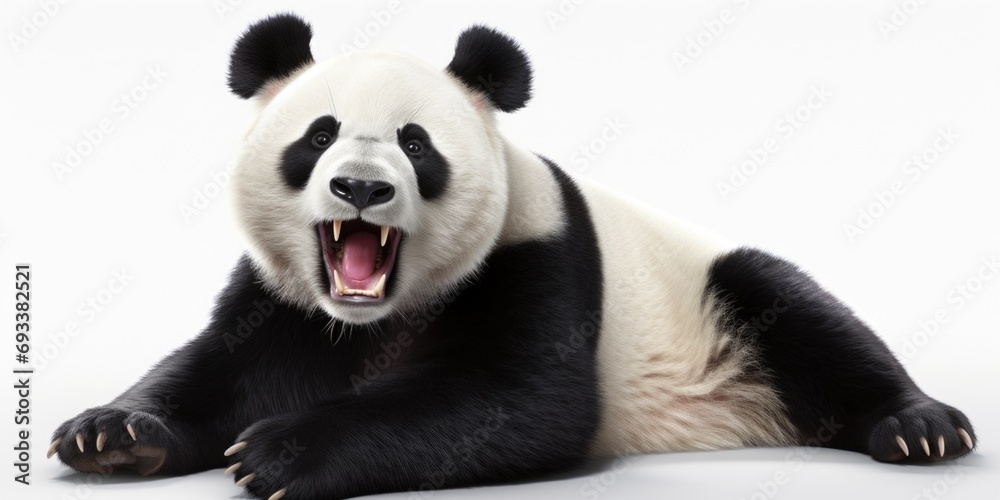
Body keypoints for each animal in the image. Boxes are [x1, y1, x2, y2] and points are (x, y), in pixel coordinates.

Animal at [51, 14, 975, 500]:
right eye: (317, 137)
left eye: (415, 144)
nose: (359, 189)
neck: (377, 315)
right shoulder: (284, 299)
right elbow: (219, 370)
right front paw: (112, 434)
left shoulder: (536, 255)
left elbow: (515, 402)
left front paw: (280, 452)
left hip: (714, 289)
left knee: (802, 316)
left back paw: (920, 428)